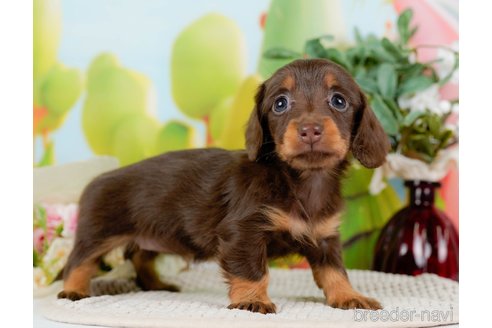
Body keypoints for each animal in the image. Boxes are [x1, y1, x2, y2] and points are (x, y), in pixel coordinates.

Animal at [57, 59, 388, 316]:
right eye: (280, 103)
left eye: (339, 100)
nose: (309, 130)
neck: (301, 181)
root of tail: (100, 178)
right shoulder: (243, 232)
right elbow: (252, 270)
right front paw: (252, 301)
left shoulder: (324, 236)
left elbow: (334, 271)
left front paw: (348, 296)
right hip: (97, 234)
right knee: (78, 262)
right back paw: (73, 291)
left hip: (151, 237)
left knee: (140, 258)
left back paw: (156, 284)